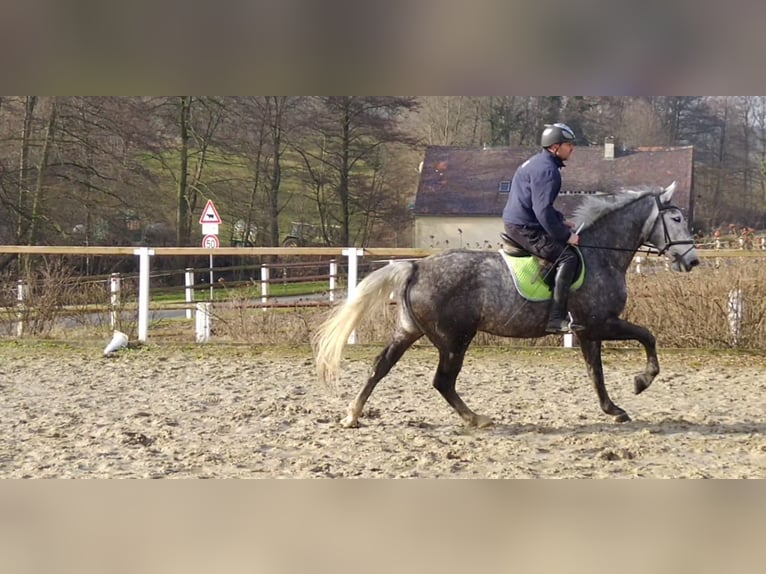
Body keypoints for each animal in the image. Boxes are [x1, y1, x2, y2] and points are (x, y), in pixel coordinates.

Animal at [312, 182, 704, 430]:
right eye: (677, 219)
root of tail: (417, 266)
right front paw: (641, 381)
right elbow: (647, 336)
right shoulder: (600, 323)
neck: (601, 254)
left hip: (409, 331)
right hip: (454, 339)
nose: (693, 261)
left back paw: (352, 415)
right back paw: (477, 419)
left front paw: (613, 409)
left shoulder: (588, 331)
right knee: (442, 381)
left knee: (380, 367)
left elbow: (596, 371)